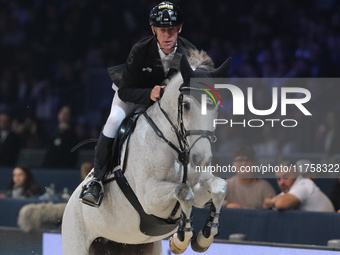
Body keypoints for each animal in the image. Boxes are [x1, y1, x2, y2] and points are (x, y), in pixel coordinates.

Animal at [61, 48, 231, 254]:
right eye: (186, 105)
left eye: (217, 107)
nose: (202, 159)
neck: (178, 148)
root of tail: (68, 205)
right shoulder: (149, 198)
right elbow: (183, 191)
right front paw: (181, 239)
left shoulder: (199, 190)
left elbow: (219, 187)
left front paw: (203, 237)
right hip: (76, 241)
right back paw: (91, 191)